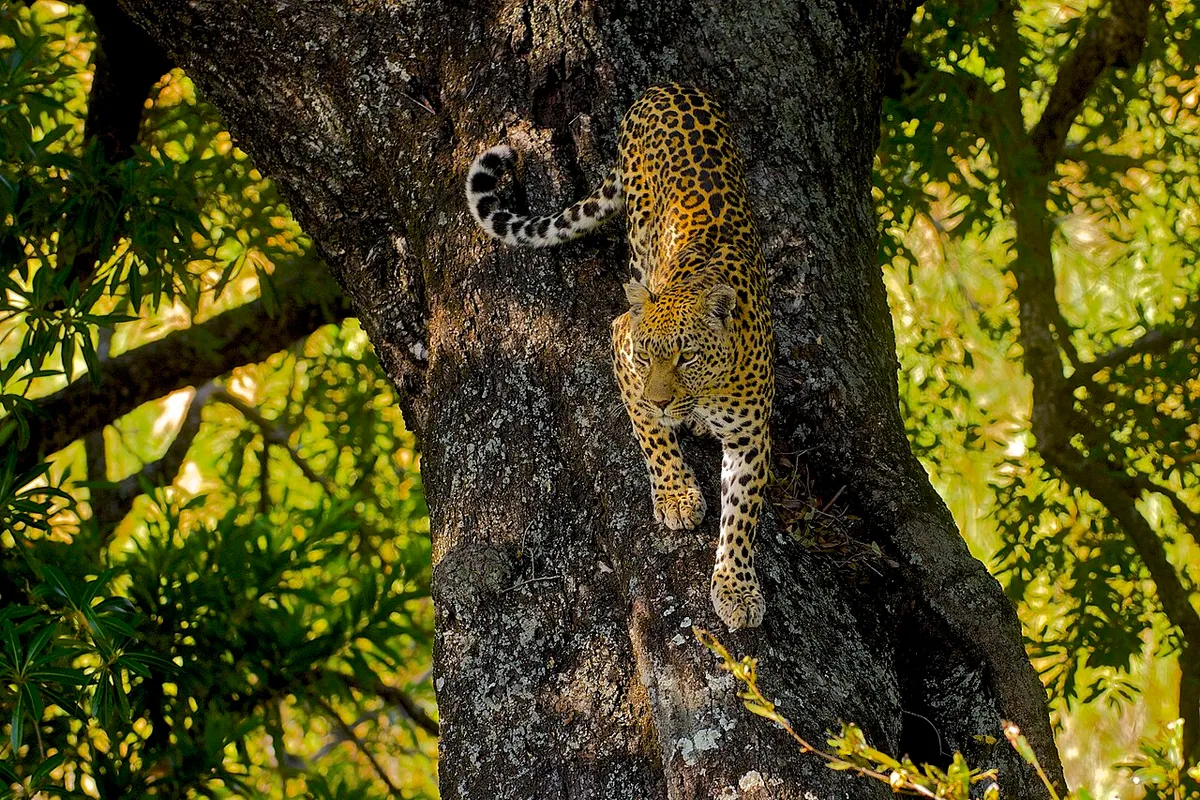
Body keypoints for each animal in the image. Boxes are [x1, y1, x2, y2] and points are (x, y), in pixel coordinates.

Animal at [465, 84, 774, 630]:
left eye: (687, 357)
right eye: (648, 356)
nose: (663, 400)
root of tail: (666, 87)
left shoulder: (750, 435)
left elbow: (741, 517)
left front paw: (736, 588)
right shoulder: (622, 344)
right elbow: (649, 433)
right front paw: (676, 495)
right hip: (638, 231)